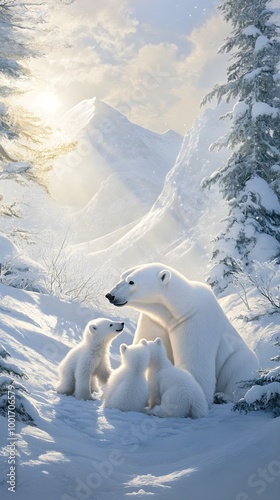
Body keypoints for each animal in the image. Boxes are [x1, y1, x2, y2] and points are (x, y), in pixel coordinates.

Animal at [106, 264, 260, 404]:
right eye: (121, 277)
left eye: (131, 281)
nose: (110, 295)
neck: (179, 309)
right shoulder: (154, 321)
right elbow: (147, 344)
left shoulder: (194, 321)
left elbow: (195, 363)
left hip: (238, 359)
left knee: (241, 364)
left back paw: (224, 397)